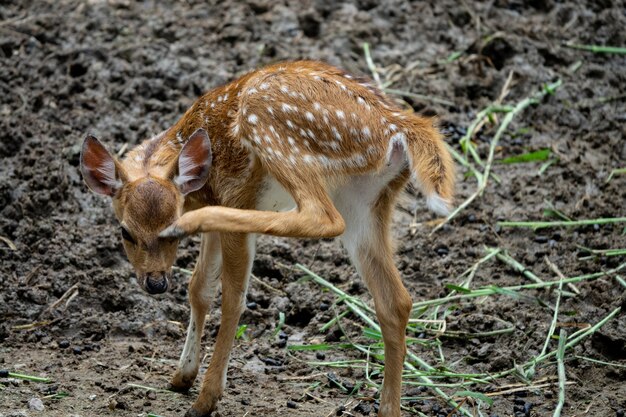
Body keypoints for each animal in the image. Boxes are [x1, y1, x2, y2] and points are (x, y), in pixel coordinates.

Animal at [80, 60, 450, 414]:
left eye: (165, 231)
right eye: (126, 231)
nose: (155, 283)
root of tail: (402, 128)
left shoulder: (231, 195)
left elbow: (231, 297)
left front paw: (205, 398)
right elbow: (199, 288)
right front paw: (181, 376)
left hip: (272, 128)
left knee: (321, 217)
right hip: (366, 201)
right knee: (396, 301)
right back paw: (388, 408)